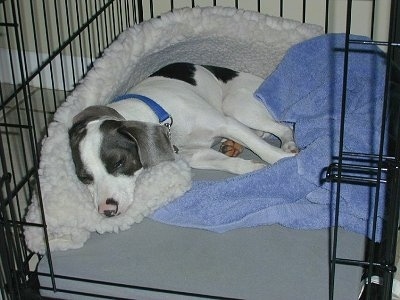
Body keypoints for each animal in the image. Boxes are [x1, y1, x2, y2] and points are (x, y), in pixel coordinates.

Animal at [70, 63, 298, 218]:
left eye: (118, 162)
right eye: (85, 178)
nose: (106, 210)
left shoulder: (226, 124)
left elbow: (266, 151)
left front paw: (286, 163)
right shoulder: (196, 155)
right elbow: (229, 163)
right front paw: (252, 168)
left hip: (236, 107)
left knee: (282, 127)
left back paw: (287, 145)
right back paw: (234, 145)